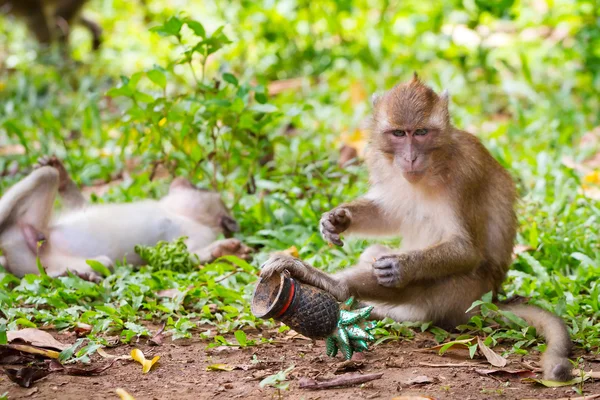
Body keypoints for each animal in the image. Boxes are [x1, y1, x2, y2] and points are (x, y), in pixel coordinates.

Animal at [0, 156, 252, 282]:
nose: (187, 182)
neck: (176, 211)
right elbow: (81, 205)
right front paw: (62, 173)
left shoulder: (201, 234)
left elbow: (185, 257)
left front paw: (225, 250)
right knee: (46, 175)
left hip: (35, 260)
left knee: (102, 262)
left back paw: (71, 274)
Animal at [262, 74, 572, 382]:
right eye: (399, 134)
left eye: (421, 132)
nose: (410, 157)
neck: (434, 165)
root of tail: (490, 300)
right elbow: (389, 215)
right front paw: (338, 219)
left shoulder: (465, 173)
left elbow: (466, 249)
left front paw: (403, 266)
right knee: (374, 254)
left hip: (463, 295)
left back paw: (334, 286)